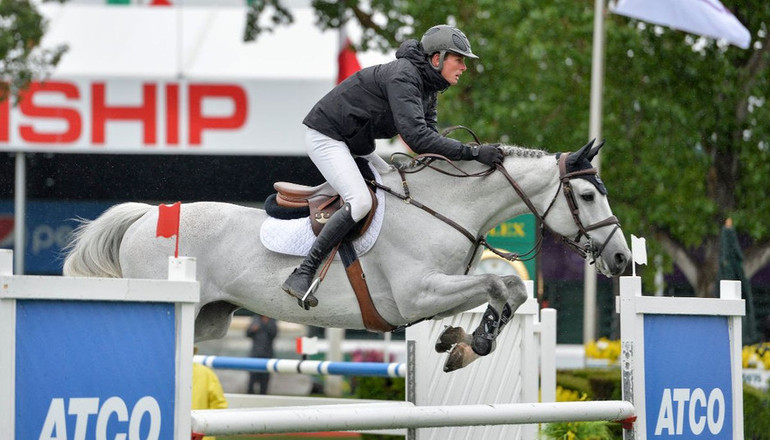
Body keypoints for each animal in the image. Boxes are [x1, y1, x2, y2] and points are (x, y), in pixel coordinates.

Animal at [64, 140, 632, 372]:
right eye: (587, 196)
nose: (623, 260)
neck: (443, 208)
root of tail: (147, 216)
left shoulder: (433, 294)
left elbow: (504, 290)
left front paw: (458, 343)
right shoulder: (415, 294)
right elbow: (502, 284)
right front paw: (473, 343)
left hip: (209, 320)